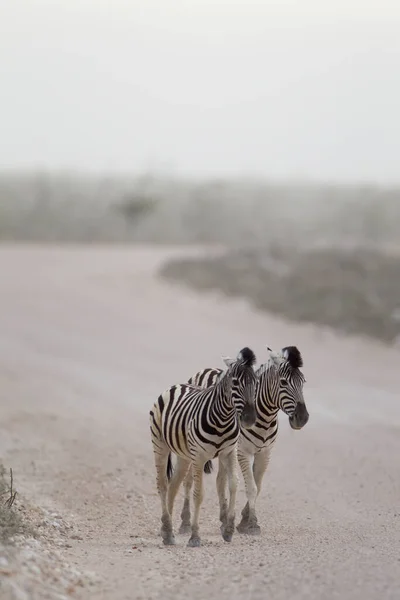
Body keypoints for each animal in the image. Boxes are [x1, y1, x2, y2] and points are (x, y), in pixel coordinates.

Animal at [149, 346, 256, 548]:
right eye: (235, 382)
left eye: (256, 382)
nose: (249, 418)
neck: (223, 419)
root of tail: (177, 385)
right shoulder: (199, 456)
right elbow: (199, 494)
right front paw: (195, 536)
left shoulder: (229, 452)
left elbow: (233, 485)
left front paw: (229, 530)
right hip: (159, 444)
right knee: (163, 485)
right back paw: (166, 528)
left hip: (184, 455)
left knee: (174, 485)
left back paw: (168, 532)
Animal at [181, 344, 310, 536]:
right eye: (284, 383)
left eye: (303, 382)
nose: (302, 418)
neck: (264, 419)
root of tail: (205, 370)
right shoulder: (243, 451)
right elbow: (251, 487)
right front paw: (252, 523)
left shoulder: (265, 453)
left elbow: (258, 486)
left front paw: (244, 518)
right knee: (189, 481)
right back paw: (185, 522)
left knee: (220, 480)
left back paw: (223, 518)